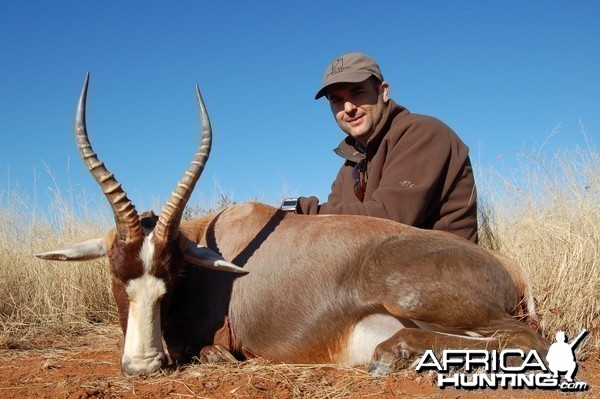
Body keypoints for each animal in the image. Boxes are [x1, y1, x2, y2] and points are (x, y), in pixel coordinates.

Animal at [34, 75, 548, 378]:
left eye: (174, 276)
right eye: (116, 274)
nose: (143, 366)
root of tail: (513, 270)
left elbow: (205, 350)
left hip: (413, 297)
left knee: (527, 340)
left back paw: (393, 353)